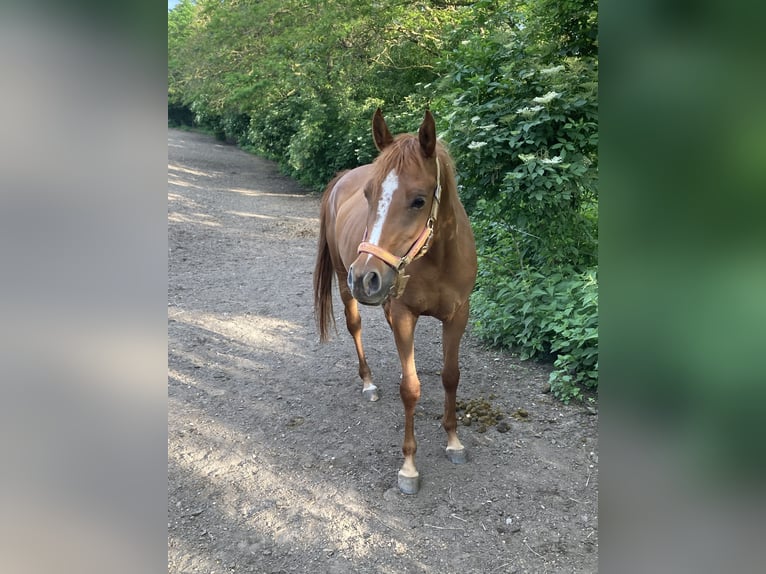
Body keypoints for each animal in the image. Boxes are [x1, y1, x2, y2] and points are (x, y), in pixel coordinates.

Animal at [316, 111, 476, 496]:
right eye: (368, 194)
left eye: (419, 200)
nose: (365, 277)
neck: (438, 259)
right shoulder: (405, 315)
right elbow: (410, 388)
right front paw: (409, 467)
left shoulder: (458, 315)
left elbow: (451, 376)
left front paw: (454, 442)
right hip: (344, 285)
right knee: (354, 326)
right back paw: (369, 383)